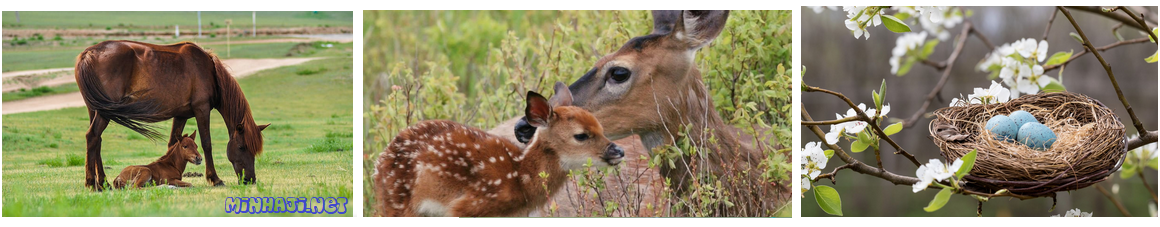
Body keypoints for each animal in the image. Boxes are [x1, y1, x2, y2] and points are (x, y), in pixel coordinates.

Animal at [75, 39, 270, 191]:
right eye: (242, 147)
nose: (250, 180)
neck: (209, 71)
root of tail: (88, 54)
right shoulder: (202, 109)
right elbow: (207, 143)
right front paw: (215, 179)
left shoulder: (181, 115)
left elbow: (172, 143)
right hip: (104, 112)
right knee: (92, 137)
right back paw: (92, 184)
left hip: (96, 110)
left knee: (97, 141)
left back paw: (103, 182)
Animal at [373, 82, 626, 216]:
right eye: (581, 135)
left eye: (601, 127)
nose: (618, 151)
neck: (520, 179)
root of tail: (380, 161)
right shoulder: (466, 207)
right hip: (397, 201)